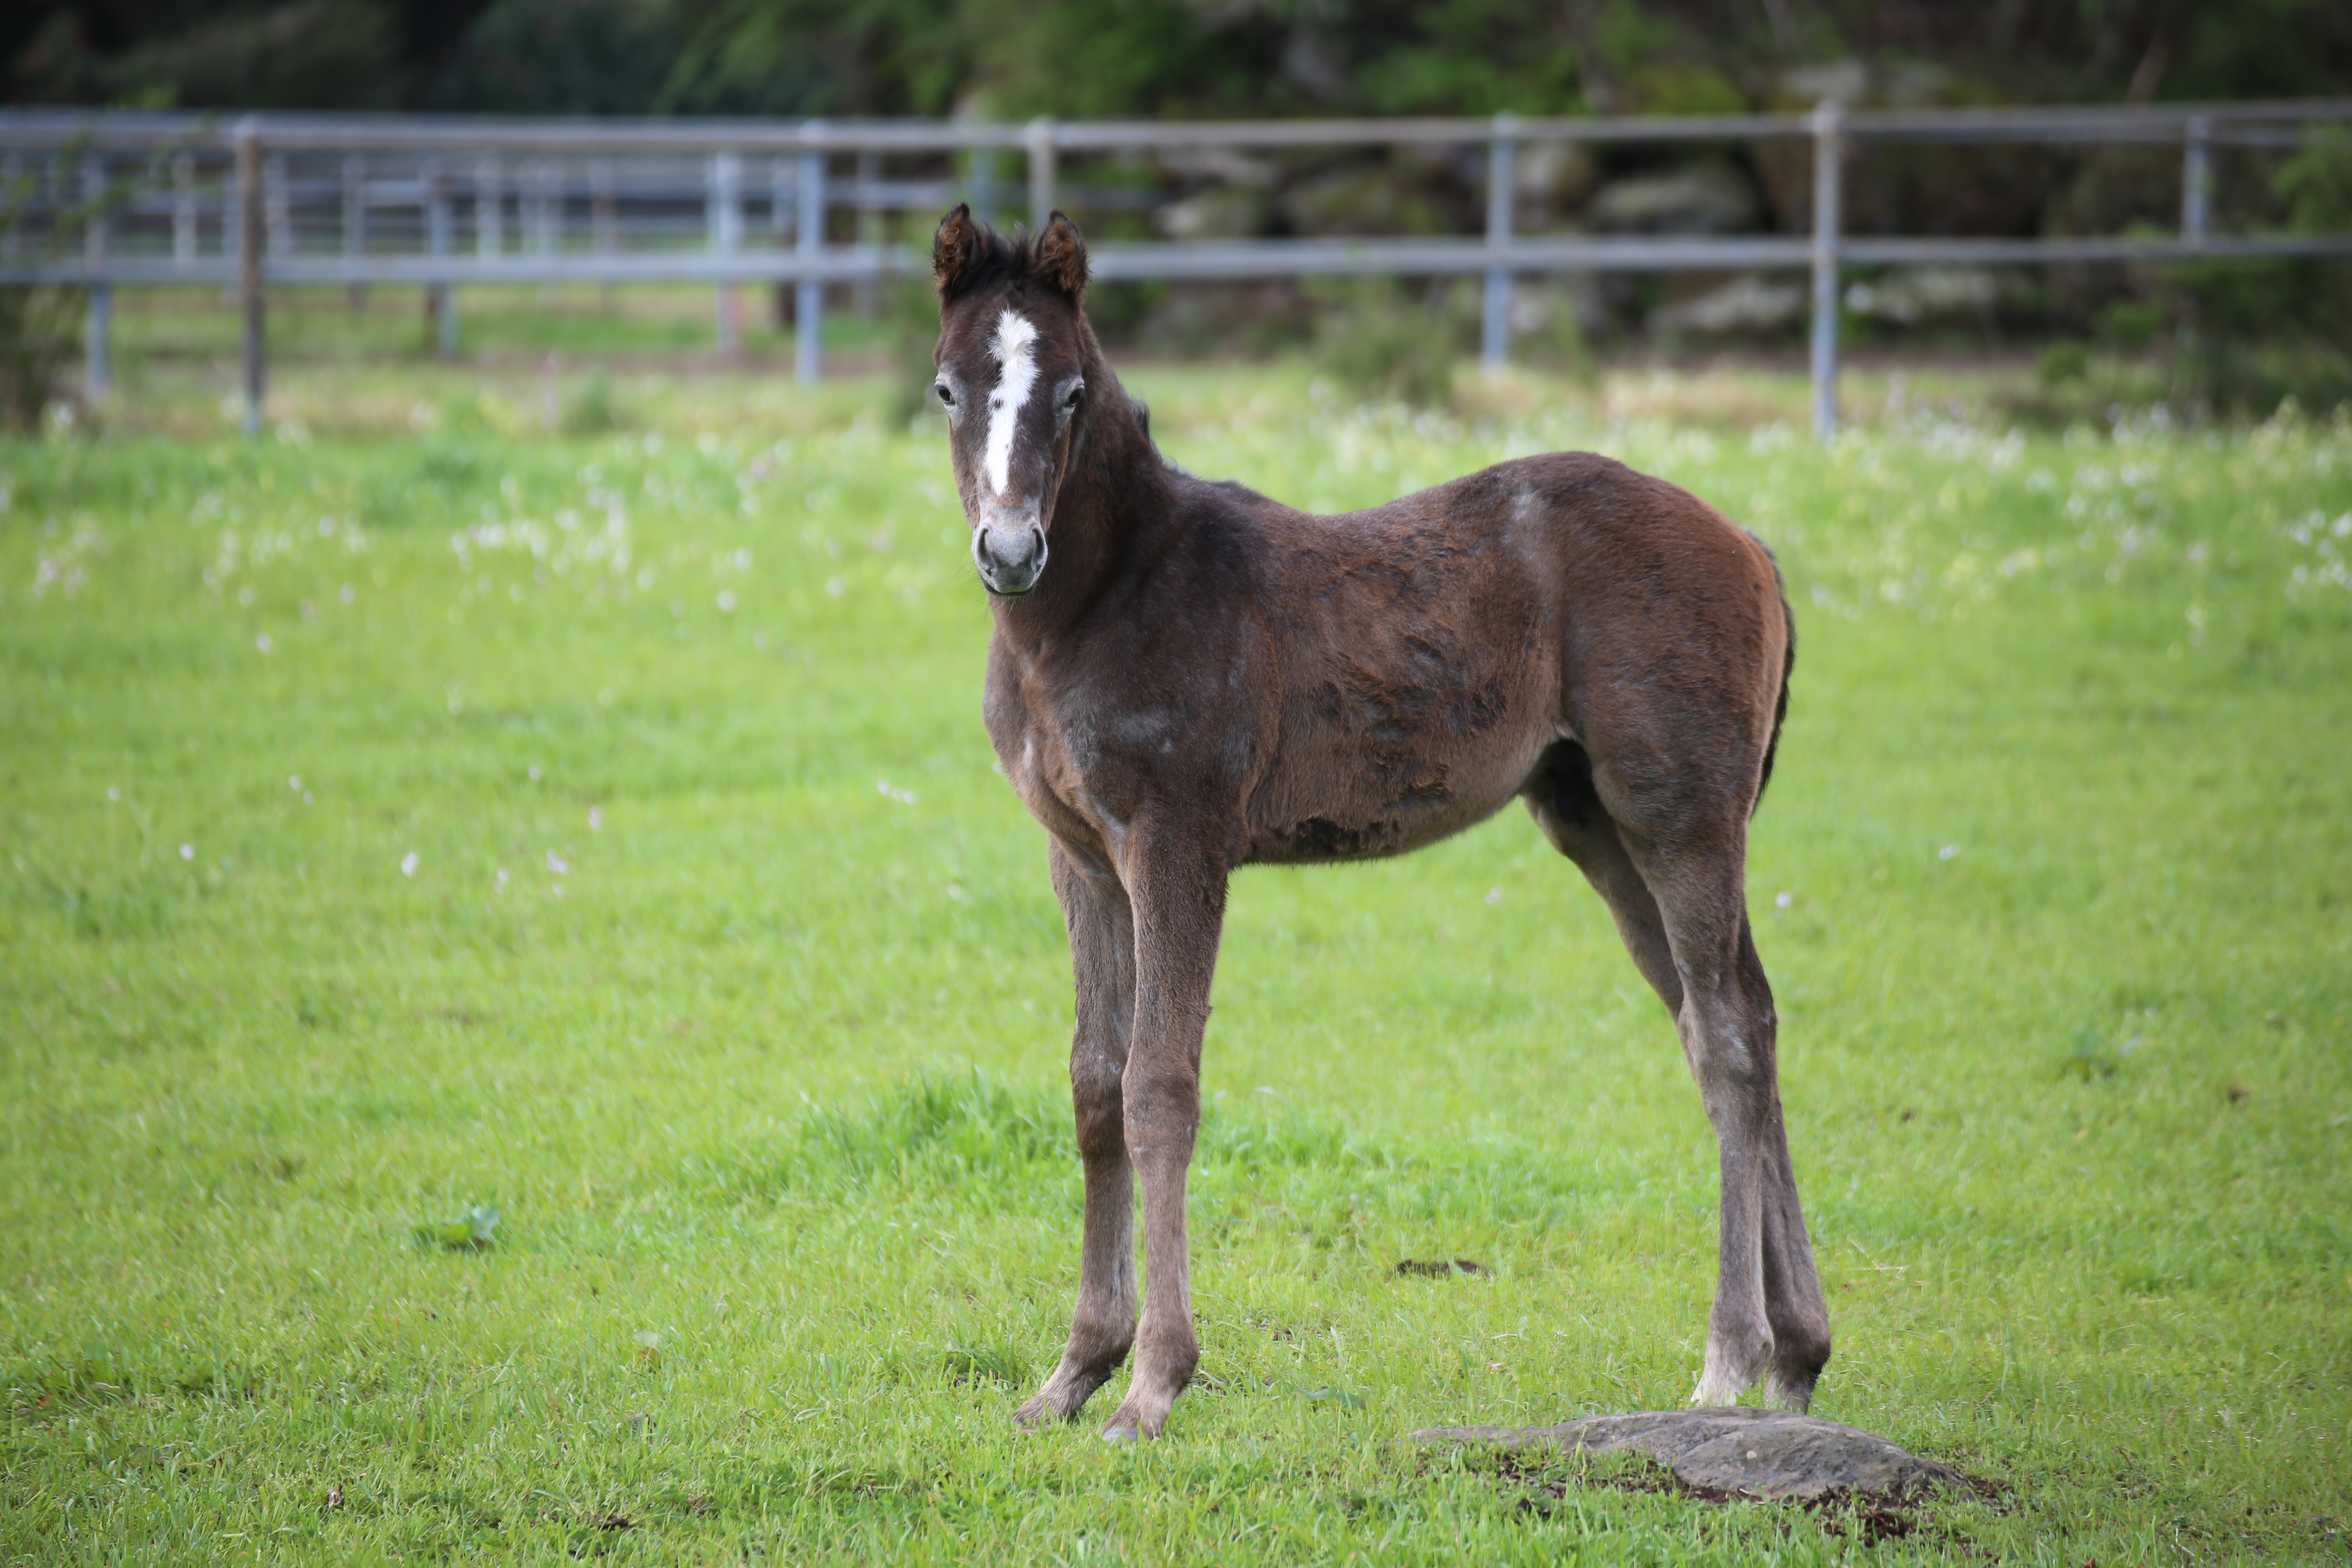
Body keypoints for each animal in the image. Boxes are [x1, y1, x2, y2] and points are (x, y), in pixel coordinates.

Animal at [927, 208, 1825, 1448]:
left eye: (1067, 392)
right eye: (947, 389)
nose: (1011, 552)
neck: (1100, 604)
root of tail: (1745, 540)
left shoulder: (1179, 841)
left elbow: (1161, 1086)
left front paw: (1153, 1384)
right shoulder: (1083, 860)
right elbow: (1094, 1086)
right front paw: (1072, 1374)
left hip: (1678, 813)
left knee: (1731, 1034)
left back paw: (1729, 1361)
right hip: (1592, 822)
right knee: (1729, 1018)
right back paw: (1800, 1358)